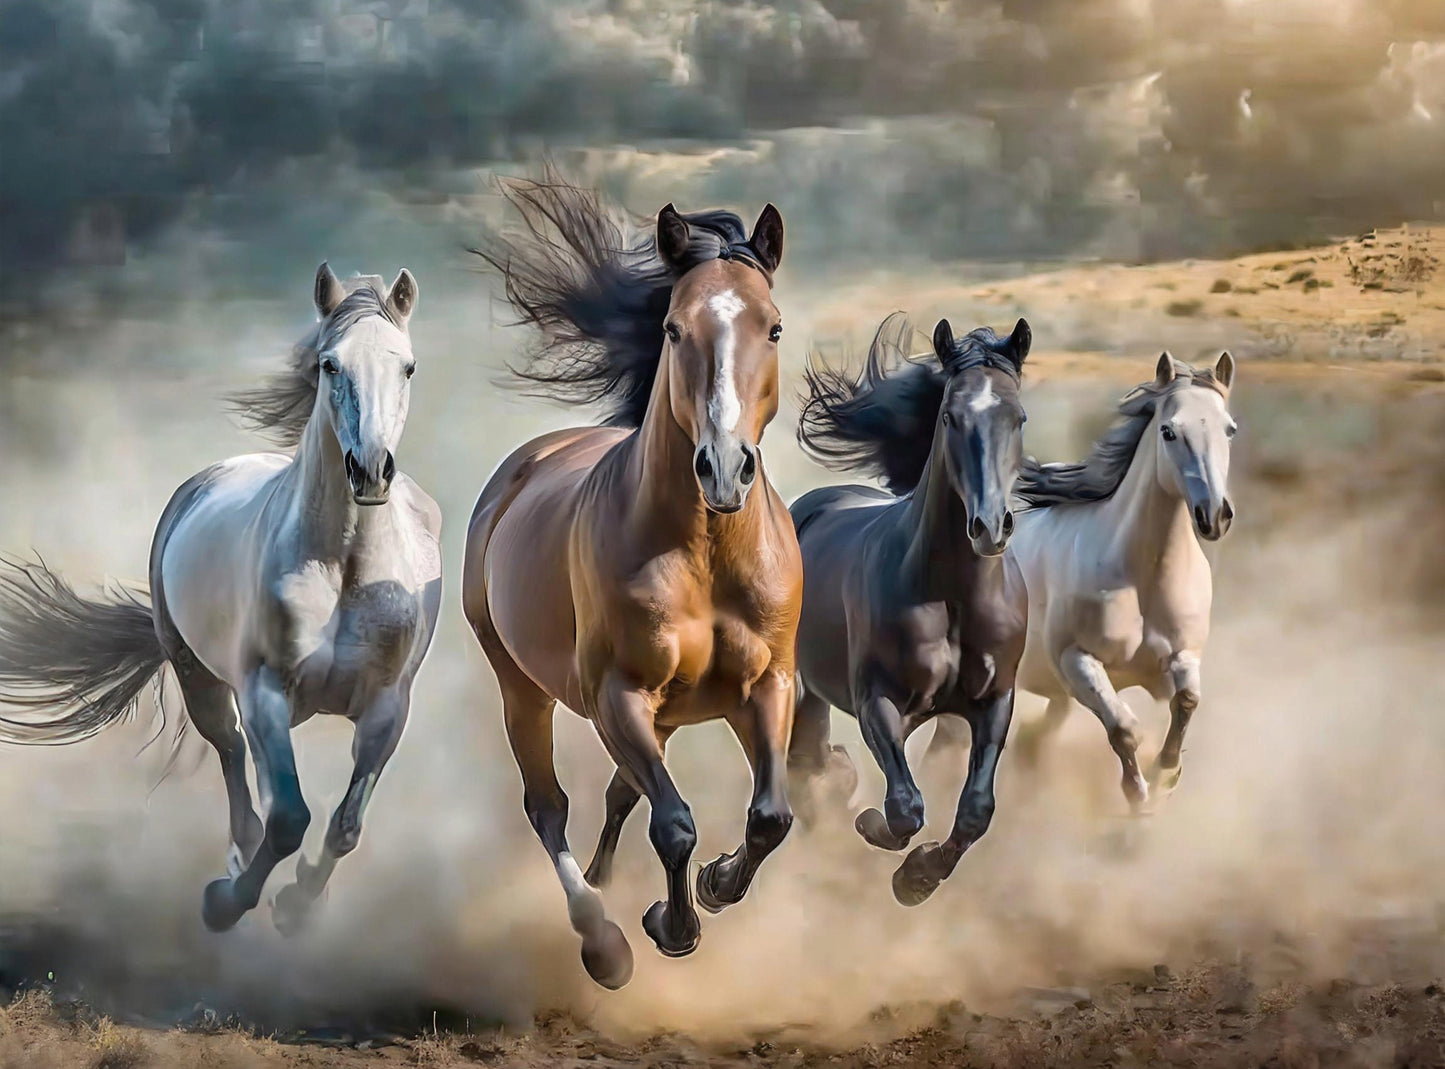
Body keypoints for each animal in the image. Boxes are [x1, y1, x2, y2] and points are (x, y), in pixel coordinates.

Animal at [0, 265, 442, 934]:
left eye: (408, 367)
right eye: (330, 364)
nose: (369, 470)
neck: (341, 566)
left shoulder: (388, 707)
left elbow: (345, 826)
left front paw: (298, 904)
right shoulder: (265, 691)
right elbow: (289, 818)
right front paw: (226, 904)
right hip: (199, 674)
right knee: (233, 751)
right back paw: (238, 855)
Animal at [462, 179, 799, 989]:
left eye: (772, 327)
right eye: (674, 329)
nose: (723, 468)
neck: (705, 552)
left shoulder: (769, 685)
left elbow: (770, 816)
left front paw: (716, 884)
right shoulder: (617, 695)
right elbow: (672, 823)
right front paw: (671, 926)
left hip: (667, 715)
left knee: (618, 792)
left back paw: (609, 884)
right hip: (521, 685)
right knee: (548, 806)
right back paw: (601, 939)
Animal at [785, 311, 1031, 907]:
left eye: (1018, 417)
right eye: (950, 415)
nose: (989, 527)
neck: (952, 596)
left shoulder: (994, 699)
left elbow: (975, 810)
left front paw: (918, 877)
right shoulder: (876, 700)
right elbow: (904, 808)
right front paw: (873, 829)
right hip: (804, 684)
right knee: (803, 764)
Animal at [976, 351, 1237, 810]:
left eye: (1230, 430)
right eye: (1169, 431)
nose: (1215, 516)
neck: (1141, 578)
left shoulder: (1182, 656)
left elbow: (1187, 700)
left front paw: (1166, 773)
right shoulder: (1077, 663)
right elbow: (1124, 728)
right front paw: (1138, 797)